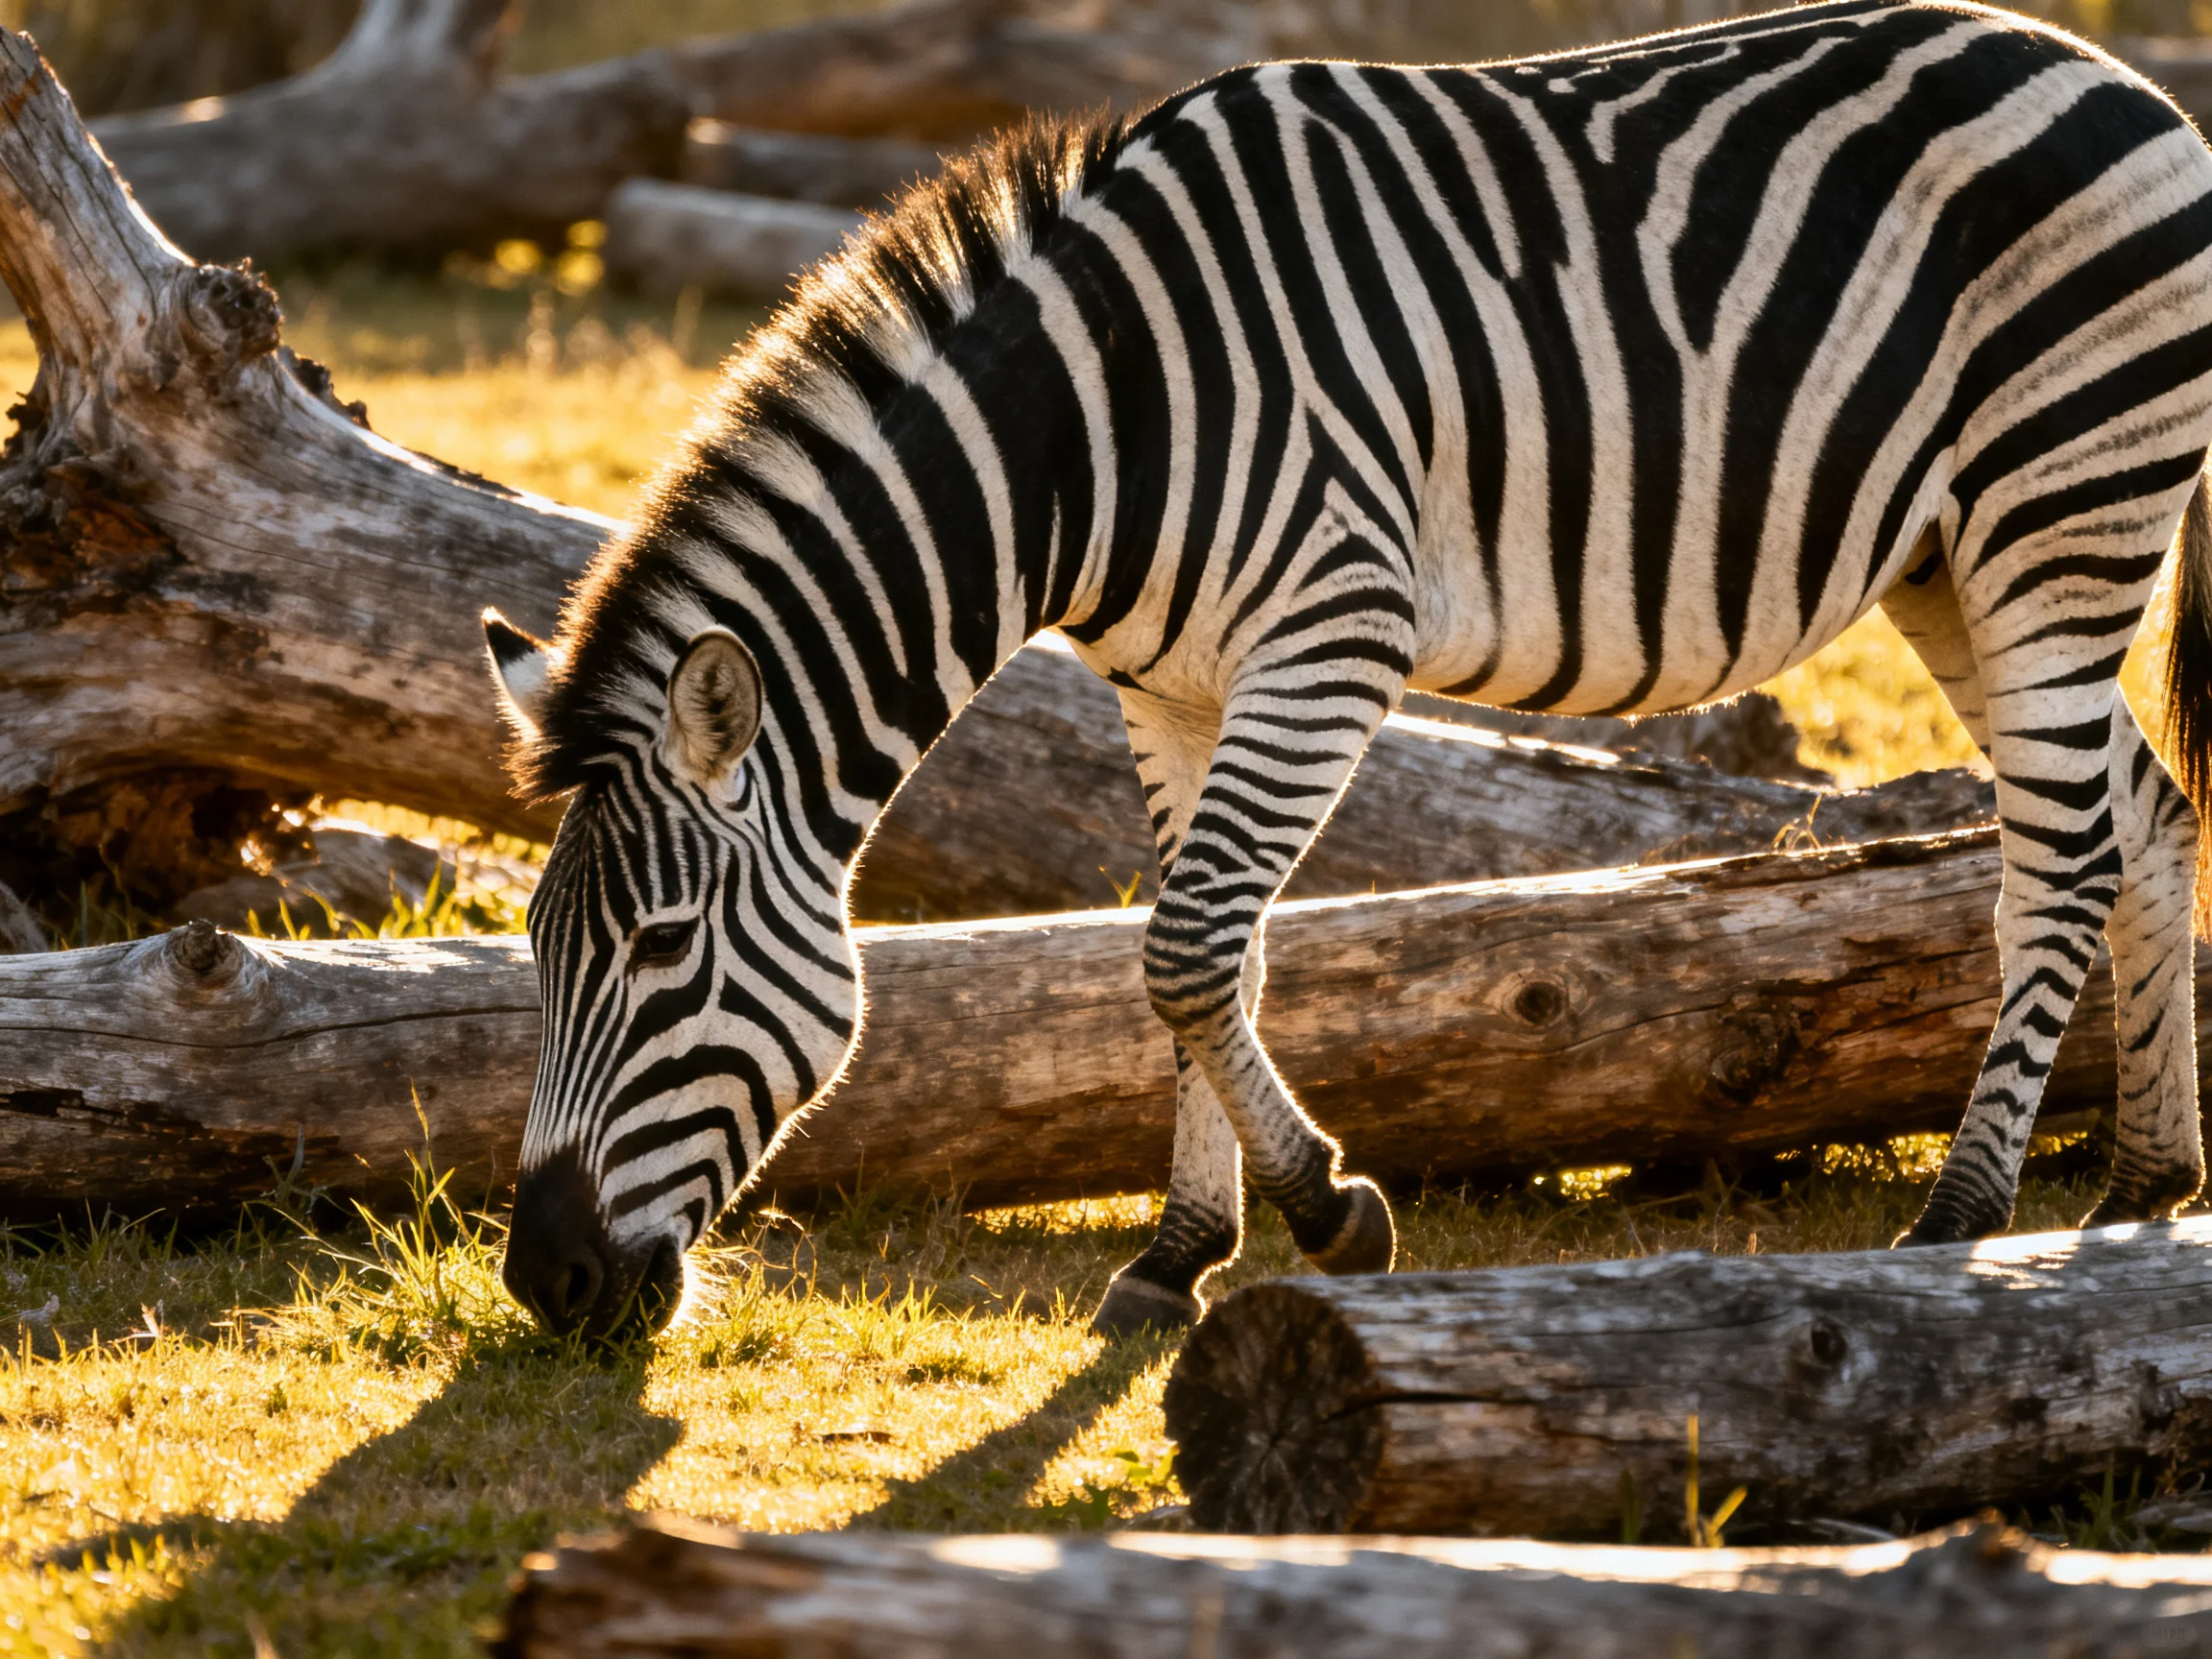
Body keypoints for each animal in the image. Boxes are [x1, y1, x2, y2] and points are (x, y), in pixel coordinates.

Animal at [484, 0, 2212, 1339]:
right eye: (537, 948)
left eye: (658, 948)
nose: (546, 1284)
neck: (1099, 431)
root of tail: (2116, 79)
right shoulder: (1169, 687)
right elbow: (1207, 957)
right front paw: (1178, 1258)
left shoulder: (1329, 633)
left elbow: (1188, 952)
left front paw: (1329, 1211)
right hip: (1950, 561)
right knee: (2148, 813)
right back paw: (2141, 1183)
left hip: (2056, 511)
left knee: (2060, 855)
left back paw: (1959, 1217)